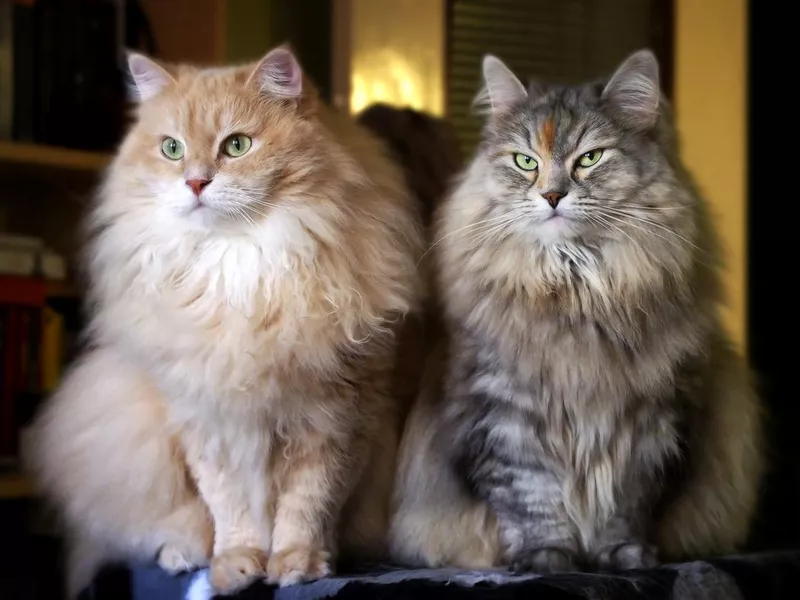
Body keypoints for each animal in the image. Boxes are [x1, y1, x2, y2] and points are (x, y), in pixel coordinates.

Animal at [26, 47, 418, 596]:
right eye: (172, 149)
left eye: (237, 146)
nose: (195, 182)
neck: (237, 265)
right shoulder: (205, 418)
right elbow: (230, 509)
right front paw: (236, 567)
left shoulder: (337, 416)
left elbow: (308, 504)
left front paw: (297, 565)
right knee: (162, 525)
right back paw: (183, 556)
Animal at [390, 50, 764, 572]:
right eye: (526, 162)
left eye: (590, 158)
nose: (551, 195)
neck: (576, 289)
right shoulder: (506, 416)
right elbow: (533, 502)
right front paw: (547, 559)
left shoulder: (651, 422)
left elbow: (626, 505)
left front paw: (623, 556)